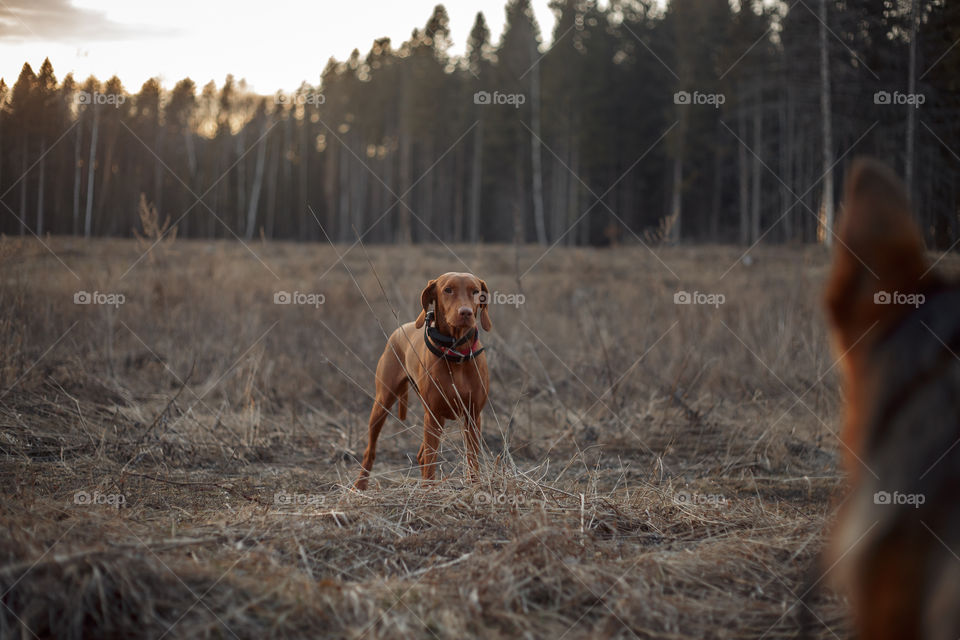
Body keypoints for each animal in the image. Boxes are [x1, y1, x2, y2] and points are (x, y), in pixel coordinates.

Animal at [352, 272, 492, 490]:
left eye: (476, 291)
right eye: (448, 290)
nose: (466, 312)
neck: (455, 352)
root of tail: (403, 327)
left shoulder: (473, 416)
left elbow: (472, 459)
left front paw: (475, 487)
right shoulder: (433, 416)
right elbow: (431, 461)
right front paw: (429, 492)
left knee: (421, 455)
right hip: (383, 403)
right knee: (371, 450)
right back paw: (360, 485)